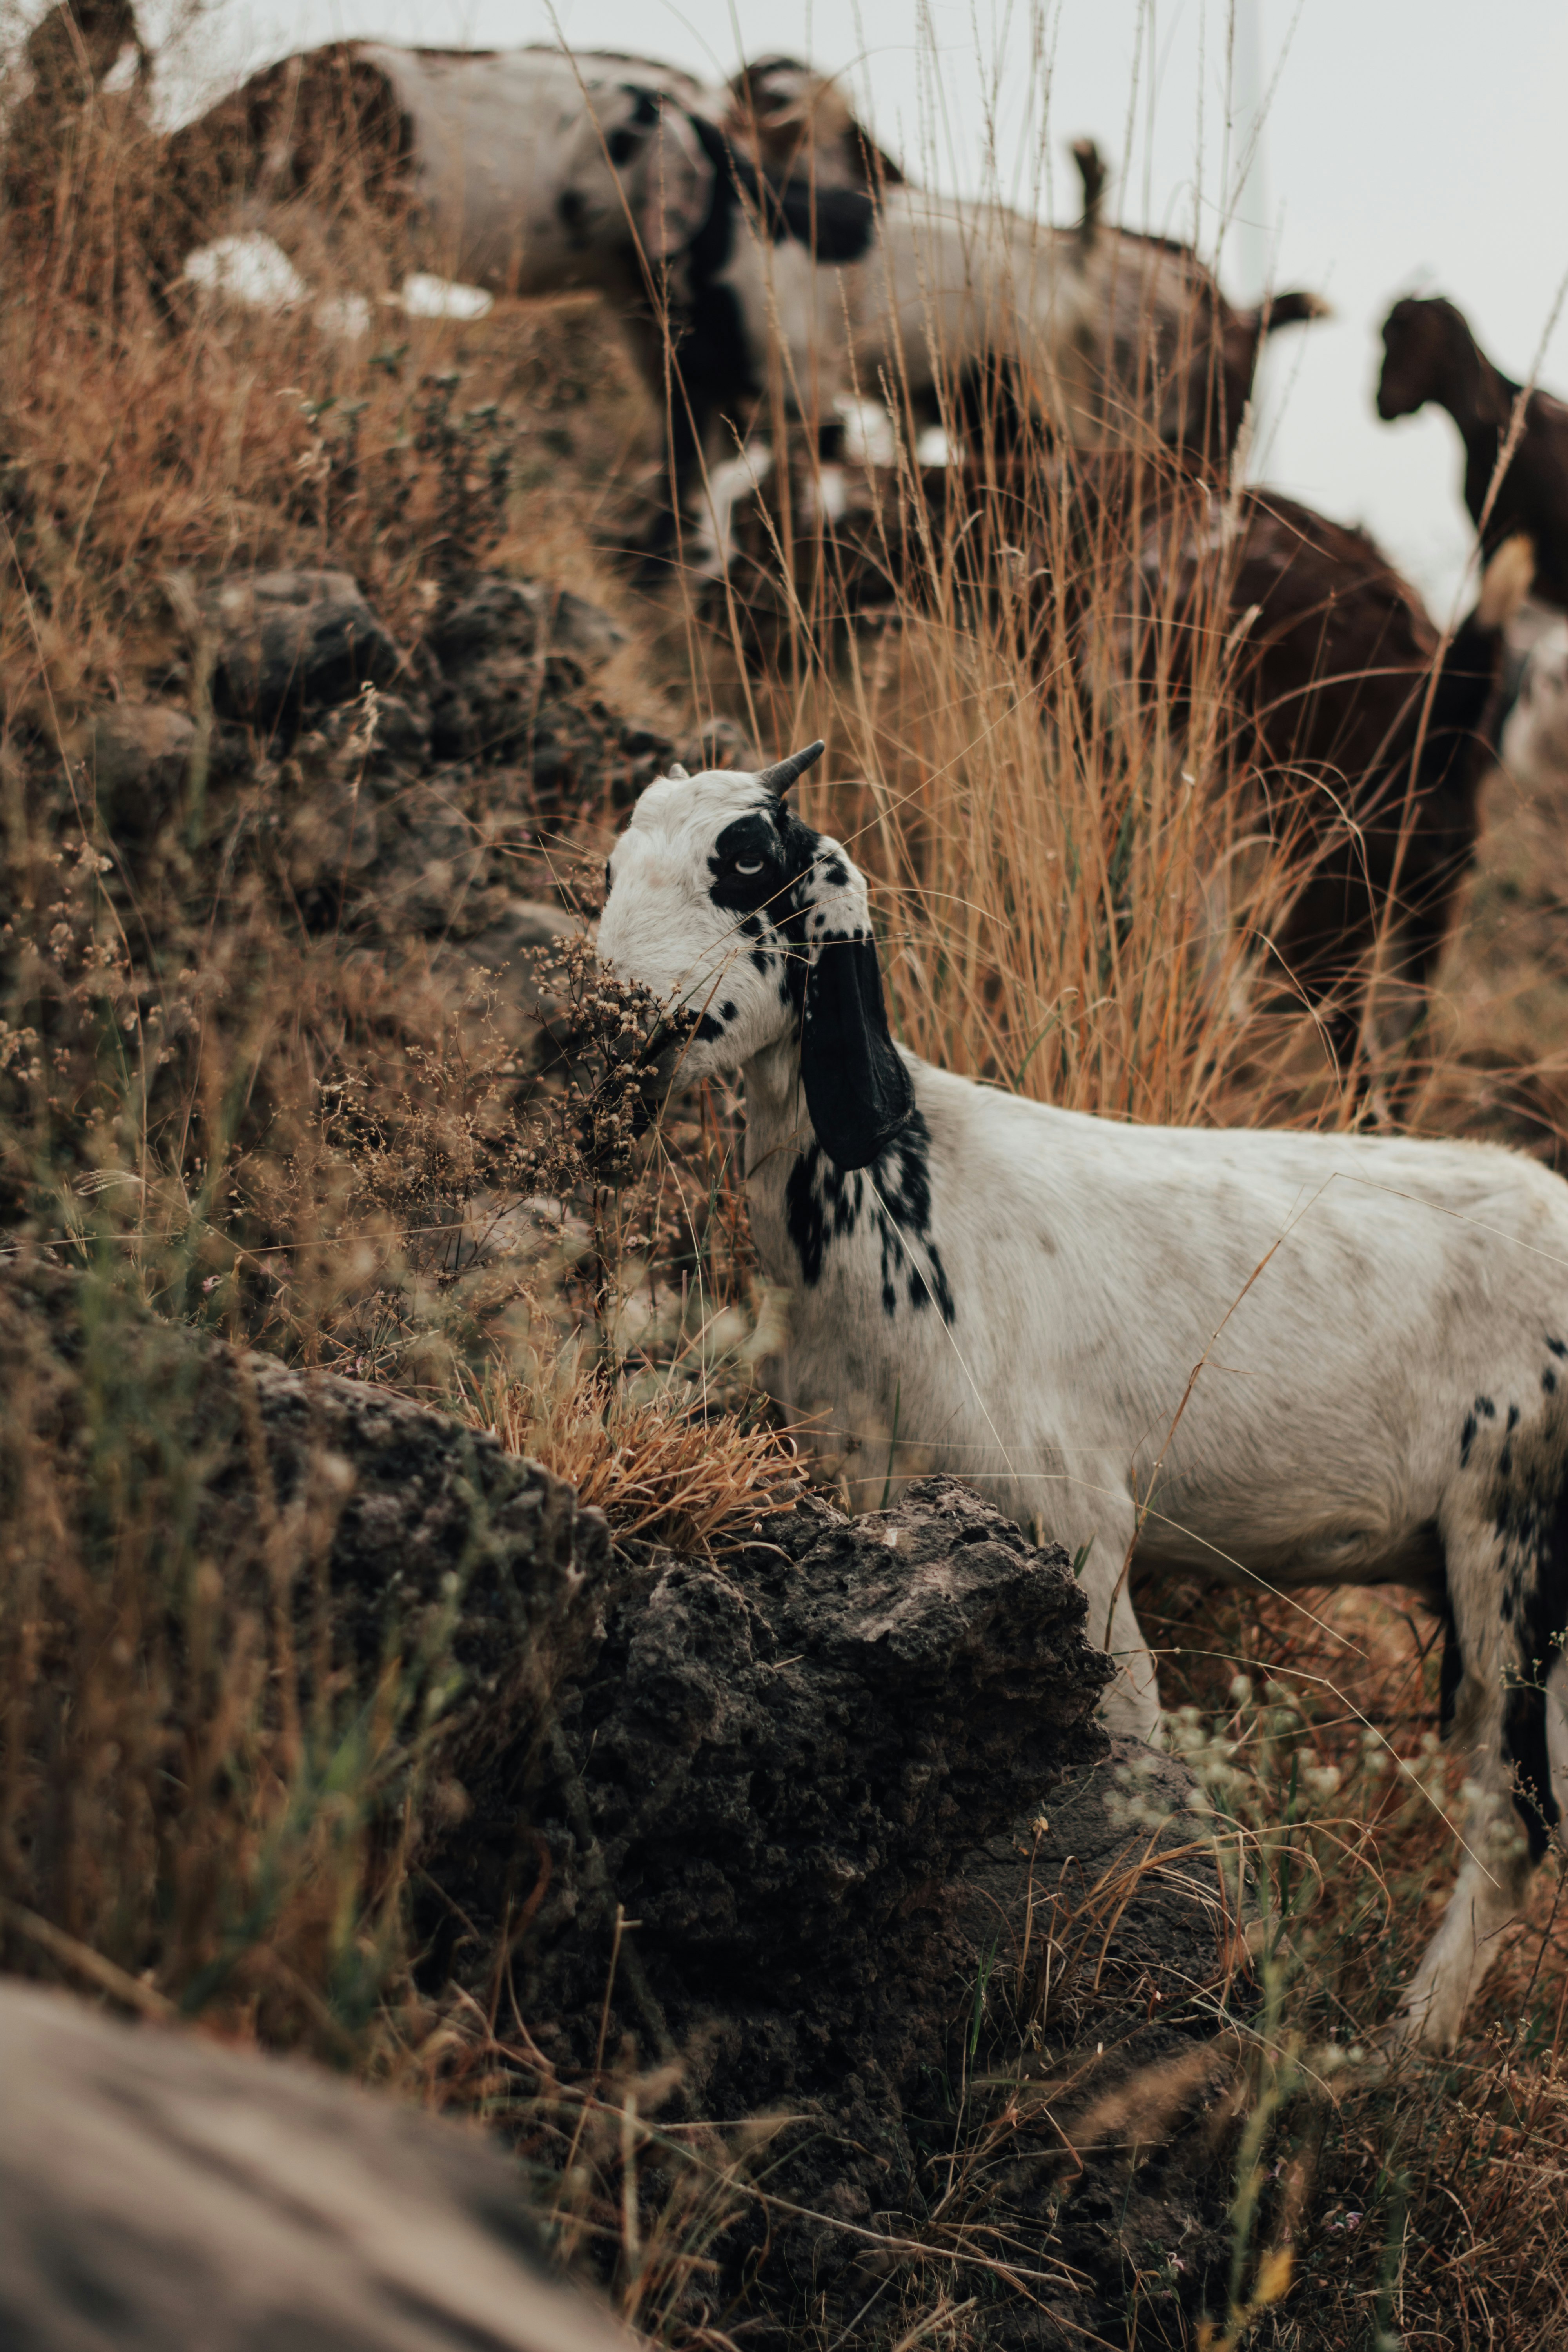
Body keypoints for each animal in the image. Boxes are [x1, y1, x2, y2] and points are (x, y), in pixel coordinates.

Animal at [597, 739, 1568, 2060]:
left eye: (741, 868)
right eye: (614, 862)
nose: (607, 1012)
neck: (904, 1188)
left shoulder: (1071, 1520)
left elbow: (1136, 1763)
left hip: (1516, 1537)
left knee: (1516, 1817)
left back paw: (1406, 2042)